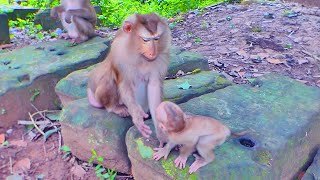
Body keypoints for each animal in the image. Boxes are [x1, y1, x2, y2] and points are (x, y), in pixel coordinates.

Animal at [87, 12, 172, 145]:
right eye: (145, 40)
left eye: (156, 38)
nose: (153, 53)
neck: (139, 54)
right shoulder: (118, 52)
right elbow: (124, 83)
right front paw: (137, 118)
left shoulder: (161, 58)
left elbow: (154, 86)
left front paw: (161, 133)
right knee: (108, 79)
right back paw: (115, 108)